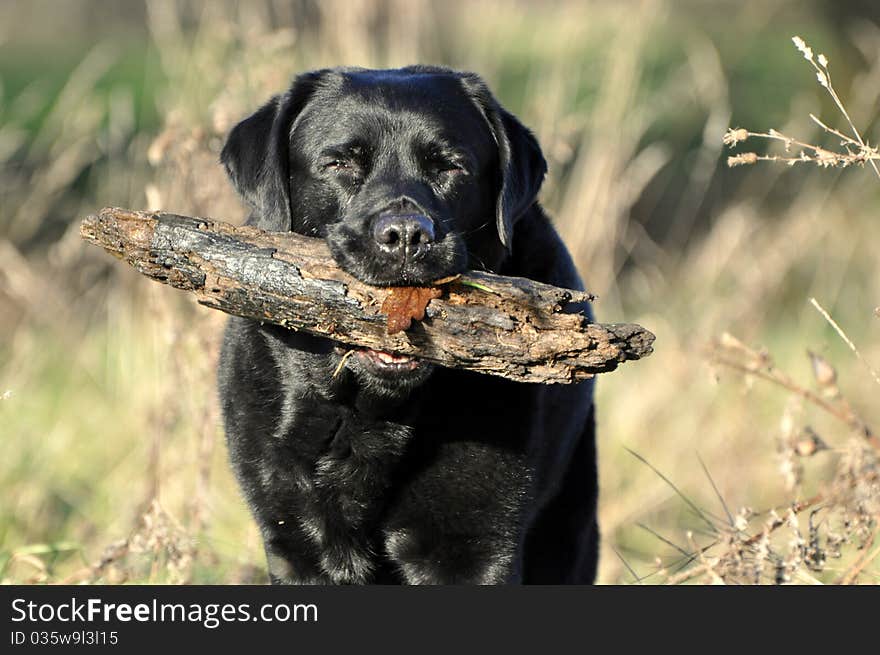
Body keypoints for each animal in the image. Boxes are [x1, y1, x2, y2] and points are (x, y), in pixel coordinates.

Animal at [218, 66, 600, 584]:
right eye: (339, 163)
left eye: (451, 167)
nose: (406, 235)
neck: (370, 416)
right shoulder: (293, 543)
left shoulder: (475, 550)